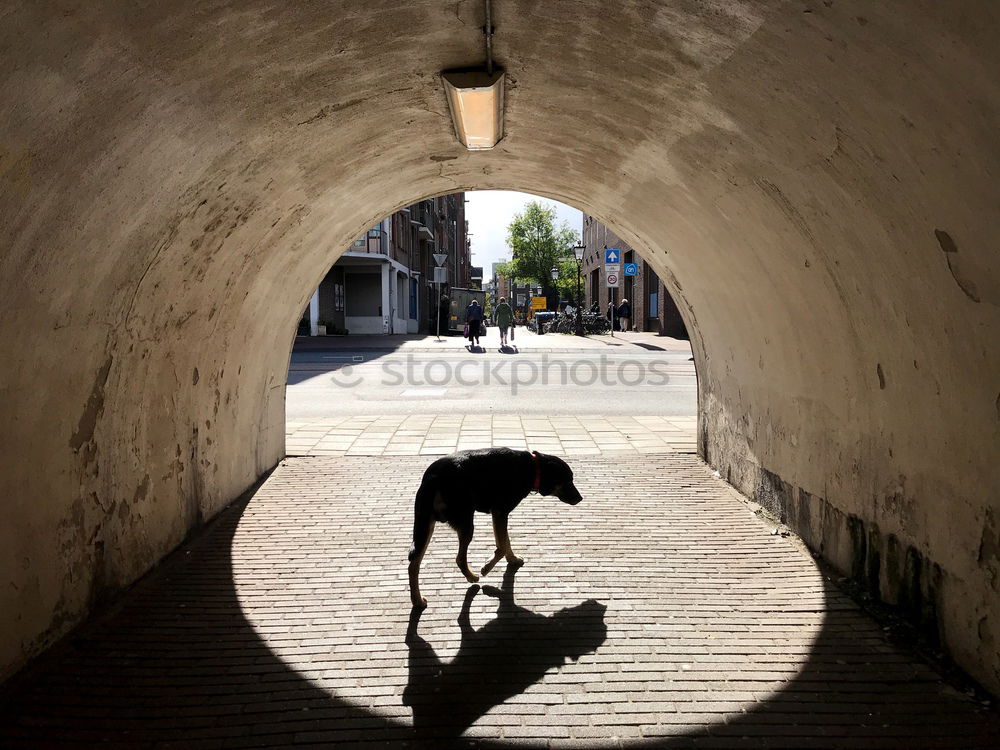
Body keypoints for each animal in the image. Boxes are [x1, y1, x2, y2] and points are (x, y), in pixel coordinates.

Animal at [408, 450, 584, 608]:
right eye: (568, 480)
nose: (581, 498)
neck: (533, 468)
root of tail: (433, 478)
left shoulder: (498, 514)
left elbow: (505, 541)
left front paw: (513, 559)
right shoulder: (500, 511)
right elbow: (501, 547)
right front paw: (487, 568)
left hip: (425, 525)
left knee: (414, 564)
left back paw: (417, 600)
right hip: (465, 522)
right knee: (459, 559)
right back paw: (472, 577)